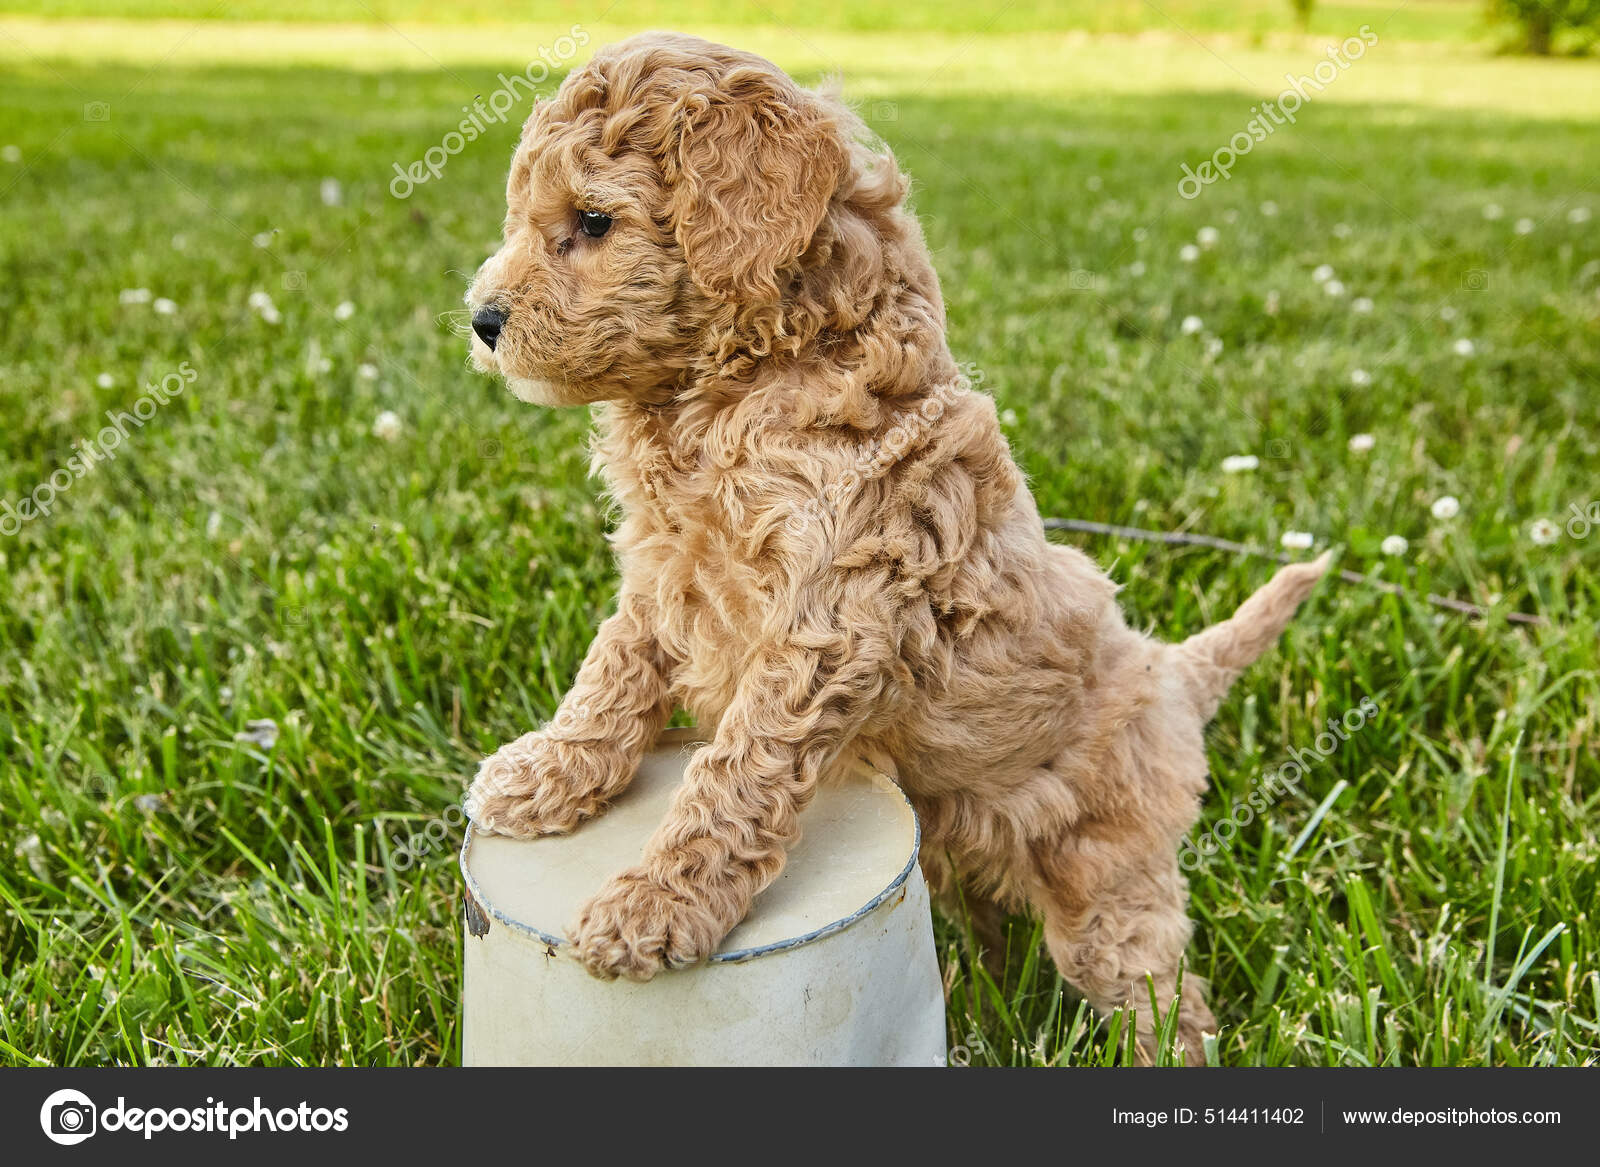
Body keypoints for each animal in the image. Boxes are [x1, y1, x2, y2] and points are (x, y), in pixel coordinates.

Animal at [464, 31, 1324, 1062]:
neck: (749, 379)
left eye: (593, 222)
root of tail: (1170, 675)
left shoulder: (826, 614)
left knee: (1158, 985)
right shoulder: (668, 569)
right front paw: (549, 774)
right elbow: (612, 672)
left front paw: (656, 904)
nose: (481, 321)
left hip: (1110, 874)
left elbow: (732, 772)